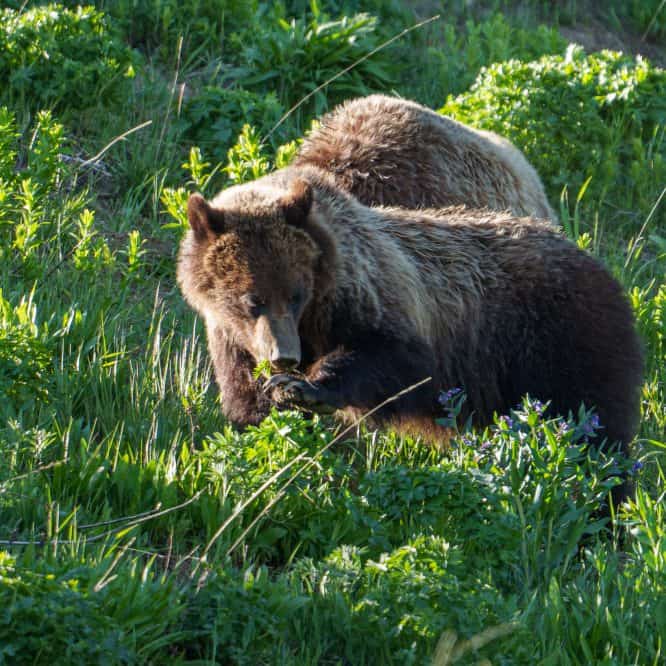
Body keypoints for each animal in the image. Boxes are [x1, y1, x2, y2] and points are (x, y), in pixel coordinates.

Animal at [177, 166, 642, 470]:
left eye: (296, 294)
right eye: (251, 299)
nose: (284, 357)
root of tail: (598, 264)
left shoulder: (374, 295)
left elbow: (393, 358)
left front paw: (303, 388)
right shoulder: (229, 338)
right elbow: (243, 401)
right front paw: (266, 405)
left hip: (562, 340)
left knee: (593, 429)